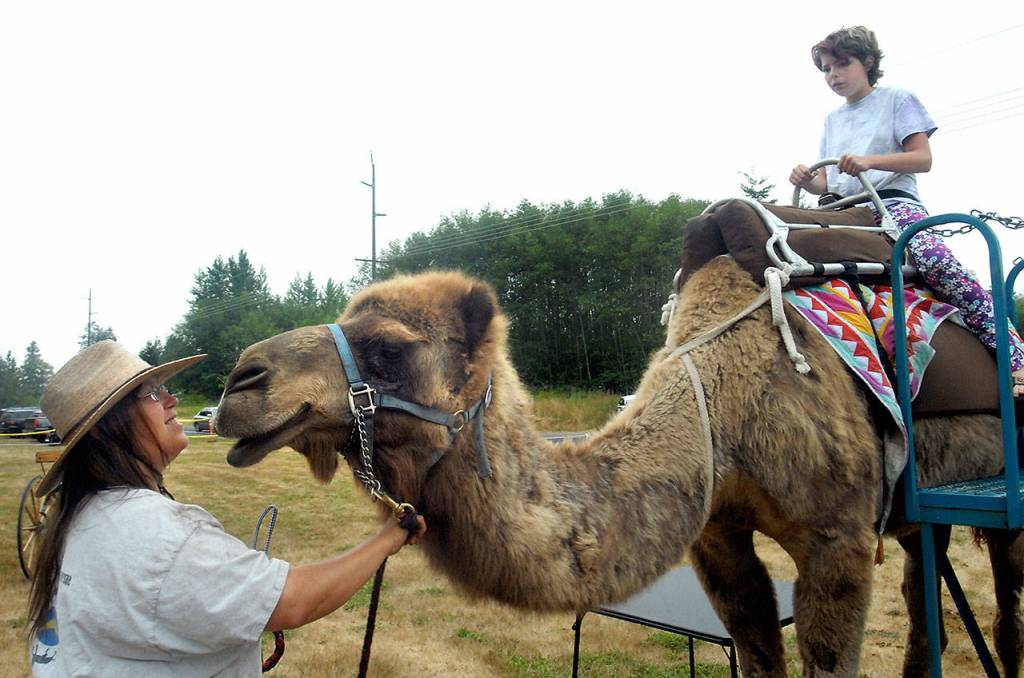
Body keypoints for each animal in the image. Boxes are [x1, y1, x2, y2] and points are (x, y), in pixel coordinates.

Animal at [216, 259, 1024, 677]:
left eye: (387, 347)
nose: (239, 384)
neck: (721, 407)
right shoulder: (717, 536)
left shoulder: (839, 539)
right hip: (923, 512)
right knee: (928, 598)